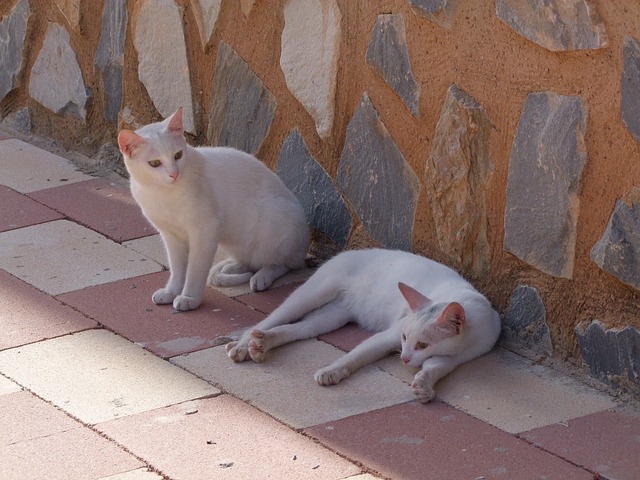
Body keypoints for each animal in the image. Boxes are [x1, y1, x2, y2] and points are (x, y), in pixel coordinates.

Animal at [120, 108, 312, 312]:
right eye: (155, 163)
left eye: (178, 155)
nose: (174, 174)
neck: (163, 194)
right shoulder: (171, 236)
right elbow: (178, 269)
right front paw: (171, 291)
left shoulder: (205, 231)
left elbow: (194, 270)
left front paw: (189, 297)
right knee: (250, 261)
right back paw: (232, 267)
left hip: (274, 225)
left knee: (284, 263)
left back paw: (262, 277)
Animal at [228, 248, 502, 402]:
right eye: (404, 338)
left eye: (423, 344)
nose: (403, 359)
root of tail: (350, 251)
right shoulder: (389, 335)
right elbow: (357, 354)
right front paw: (331, 371)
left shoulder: (455, 357)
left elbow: (435, 367)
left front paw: (424, 385)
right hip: (314, 292)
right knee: (272, 318)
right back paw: (243, 345)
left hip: (332, 316)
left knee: (299, 329)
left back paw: (262, 343)